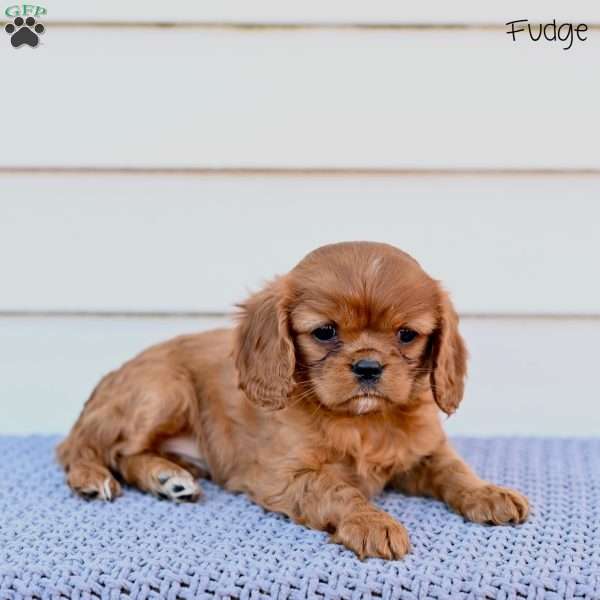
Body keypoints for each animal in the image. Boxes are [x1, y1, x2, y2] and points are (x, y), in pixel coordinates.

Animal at [55, 241, 524, 560]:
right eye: (325, 332)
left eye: (407, 335)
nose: (368, 366)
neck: (362, 421)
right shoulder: (285, 476)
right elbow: (339, 489)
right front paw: (373, 521)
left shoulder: (425, 451)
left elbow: (455, 470)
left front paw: (488, 494)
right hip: (163, 388)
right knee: (94, 448)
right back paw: (95, 476)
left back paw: (170, 476)